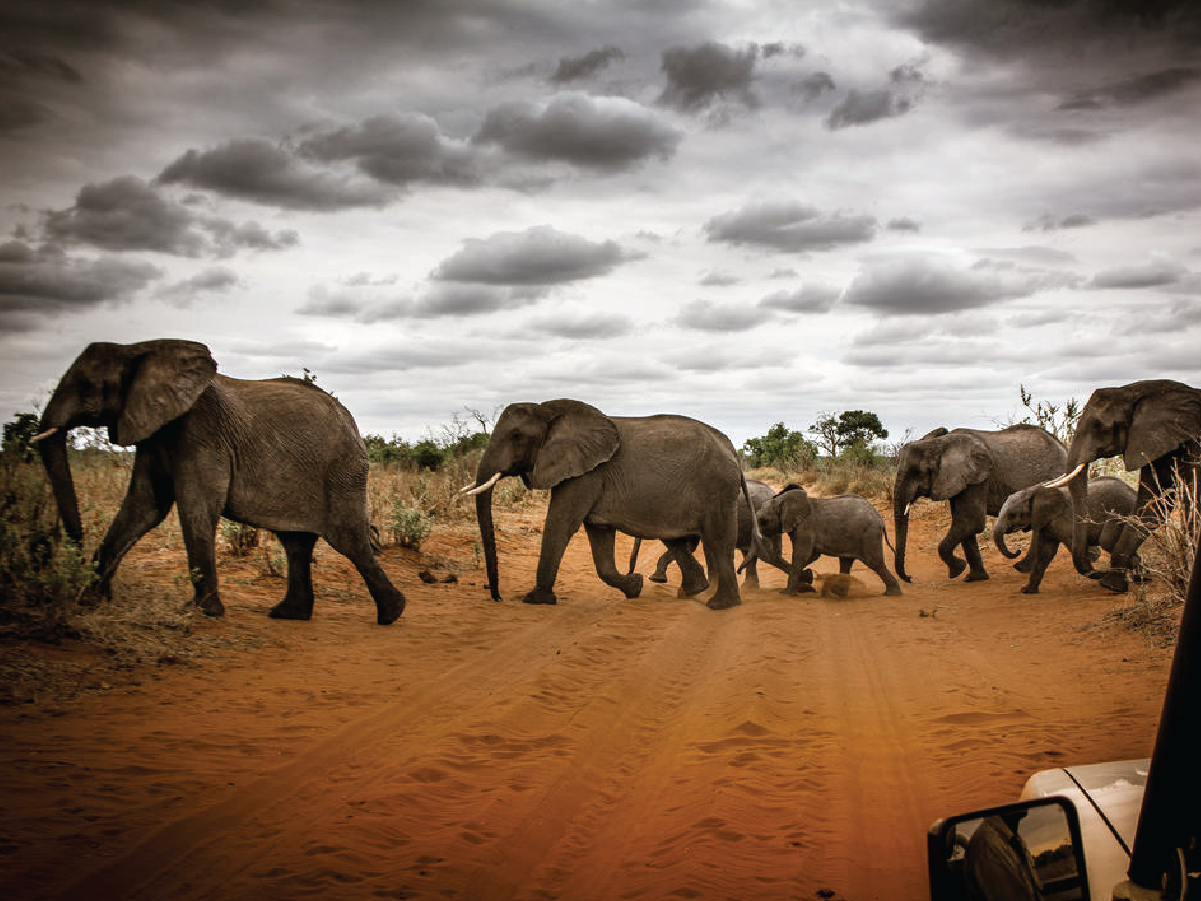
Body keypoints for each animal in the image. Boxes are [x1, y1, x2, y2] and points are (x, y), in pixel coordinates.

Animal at [461, 401, 754, 615]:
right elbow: (599, 537)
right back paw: (695, 591)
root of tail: (731, 448)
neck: (551, 409)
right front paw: (634, 587)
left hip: (716, 487)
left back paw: (719, 605)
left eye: (517, 436)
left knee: (718, 541)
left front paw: (535, 600)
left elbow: (561, 523)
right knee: (678, 541)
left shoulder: (586, 474)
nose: (497, 597)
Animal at [759, 487, 903, 600]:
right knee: (846, 562)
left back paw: (892, 594)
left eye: (763, 521)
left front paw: (786, 594)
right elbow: (811, 556)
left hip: (869, 534)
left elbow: (801, 556)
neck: (783, 500)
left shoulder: (805, 528)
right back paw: (839, 593)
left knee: (875, 562)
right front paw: (806, 577)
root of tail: (880, 519)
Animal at [893, 425, 1071, 581]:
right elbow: (964, 523)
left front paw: (957, 570)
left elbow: (971, 521)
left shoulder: (977, 479)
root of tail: (1063, 448)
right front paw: (974, 578)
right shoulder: (961, 480)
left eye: (918, 472)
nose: (910, 578)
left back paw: (1022, 568)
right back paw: (1023, 568)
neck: (940, 443)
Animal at [989, 475, 1138, 595]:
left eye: (1012, 515)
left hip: (1123, 511)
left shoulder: (1065, 521)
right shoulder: (1046, 524)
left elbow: (1074, 549)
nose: (1018, 551)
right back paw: (1139, 577)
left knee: (1110, 543)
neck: (1034, 491)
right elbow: (1045, 553)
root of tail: (1133, 491)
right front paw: (1027, 591)